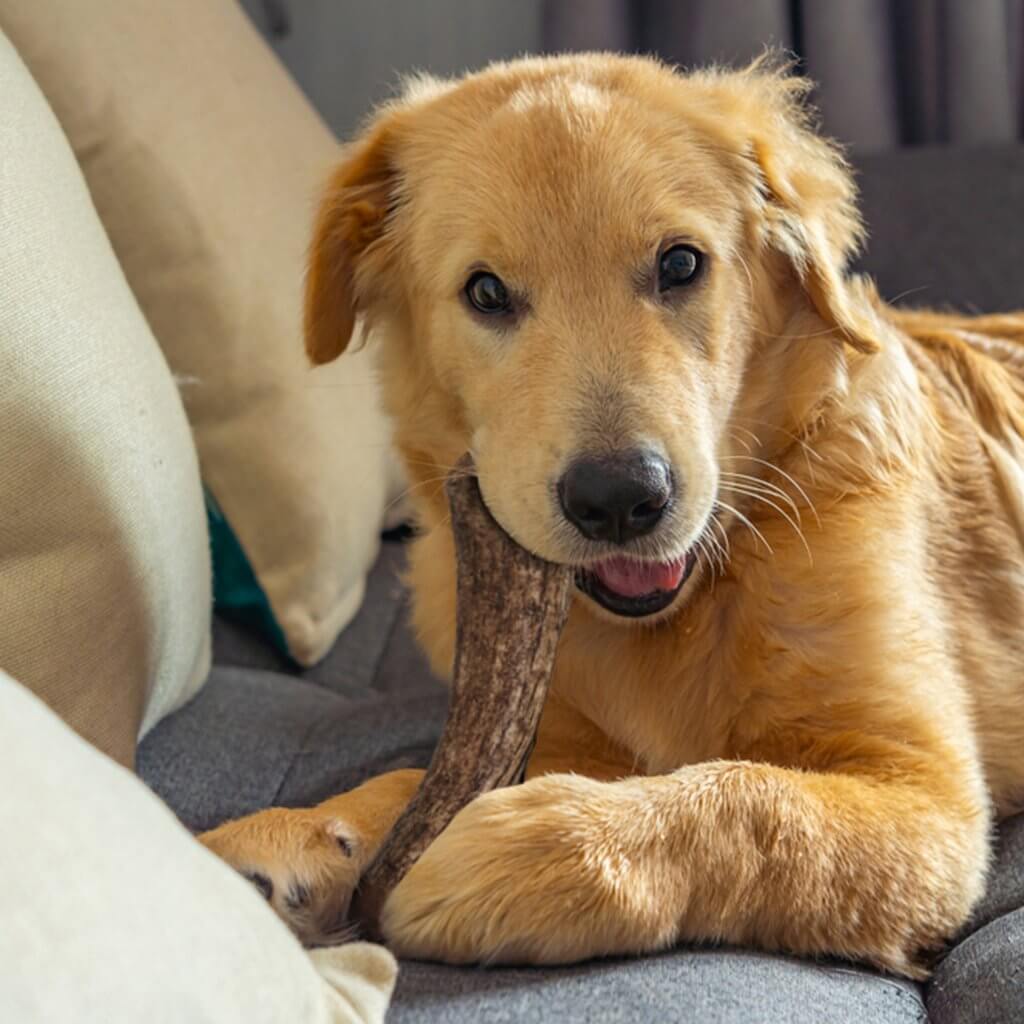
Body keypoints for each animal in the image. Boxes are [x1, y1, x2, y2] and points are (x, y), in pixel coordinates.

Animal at [199, 54, 1024, 974]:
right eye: (486, 292)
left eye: (680, 265)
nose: (621, 499)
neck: (685, 607)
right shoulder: (542, 727)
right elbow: (413, 780)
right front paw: (296, 833)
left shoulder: (929, 797)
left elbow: (751, 799)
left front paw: (526, 850)